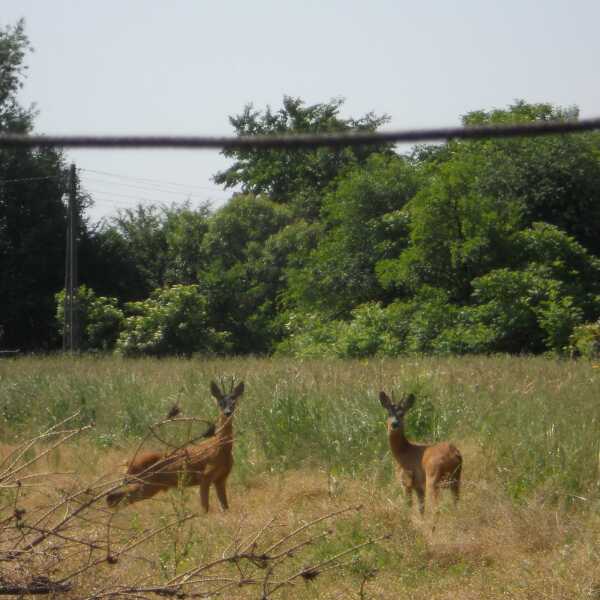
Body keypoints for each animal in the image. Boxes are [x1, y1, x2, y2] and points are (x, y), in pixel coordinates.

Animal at [106, 380, 245, 510]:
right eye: (220, 403)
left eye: (234, 402)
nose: (227, 412)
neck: (222, 447)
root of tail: (127, 462)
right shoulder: (205, 476)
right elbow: (205, 508)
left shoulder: (221, 478)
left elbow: (225, 507)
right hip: (143, 484)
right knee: (115, 497)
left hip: (146, 486)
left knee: (114, 497)